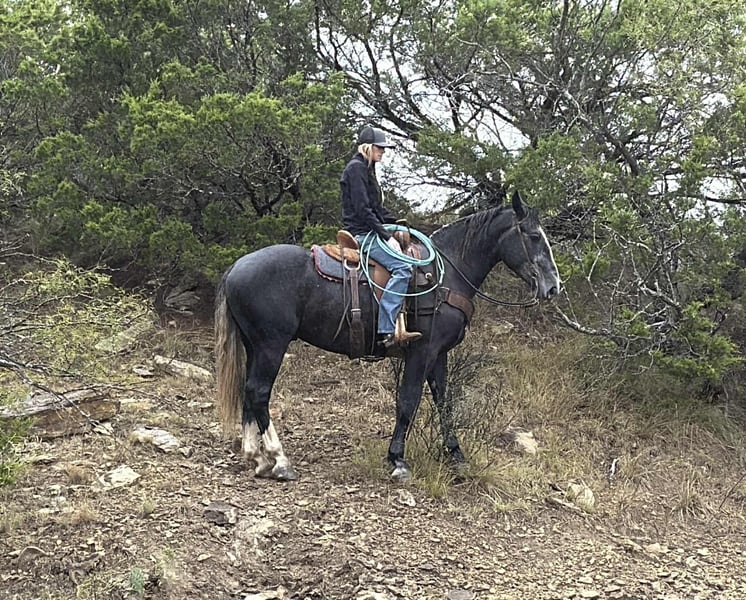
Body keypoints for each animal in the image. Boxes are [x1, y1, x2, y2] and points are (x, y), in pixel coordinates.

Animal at [214, 191, 561, 482]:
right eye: (533, 236)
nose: (553, 286)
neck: (446, 274)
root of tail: (236, 266)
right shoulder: (422, 350)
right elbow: (408, 400)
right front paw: (397, 460)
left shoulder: (439, 354)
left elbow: (444, 401)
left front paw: (456, 456)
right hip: (272, 345)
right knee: (259, 392)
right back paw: (279, 460)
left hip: (255, 346)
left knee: (248, 391)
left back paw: (257, 457)